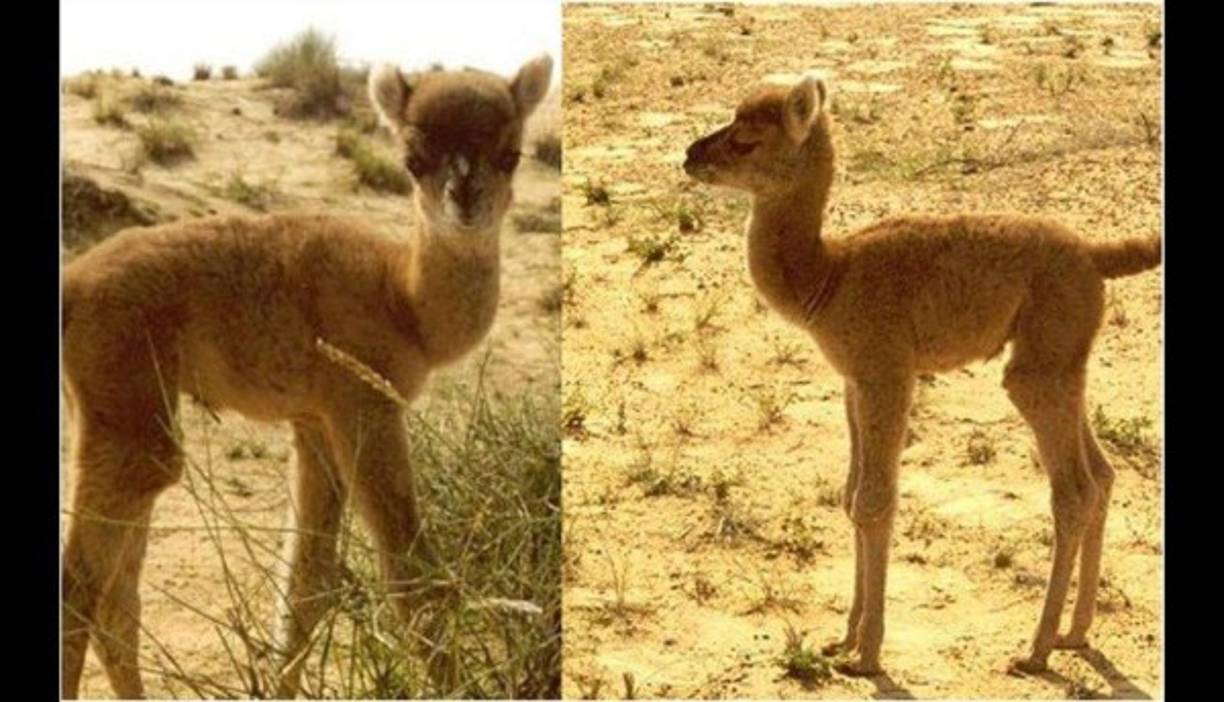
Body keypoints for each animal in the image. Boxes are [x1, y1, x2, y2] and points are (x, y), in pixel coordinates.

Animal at [60, 54, 552, 699]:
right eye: (413, 159)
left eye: (511, 153)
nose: (465, 196)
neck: (403, 300)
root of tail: (70, 287)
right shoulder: (364, 401)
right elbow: (412, 573)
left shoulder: (315, 419)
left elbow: (306, 586)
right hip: (129, 407)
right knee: (81, 588)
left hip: (119, 412)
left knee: (118, 599)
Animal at [683, 76, 1161, 677]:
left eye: (746, 140)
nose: (690, 156)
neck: (829, 277)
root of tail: (1096, 255)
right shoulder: (853, 381)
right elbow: (850, 497)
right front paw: (843, 638)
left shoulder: (887, 372)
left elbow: (873, 502)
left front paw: (867, 655)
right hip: (1064, 360)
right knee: (1103, 474)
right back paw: (1075, 634)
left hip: (1037, 368)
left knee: (1074, 490)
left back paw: (1036, 649)